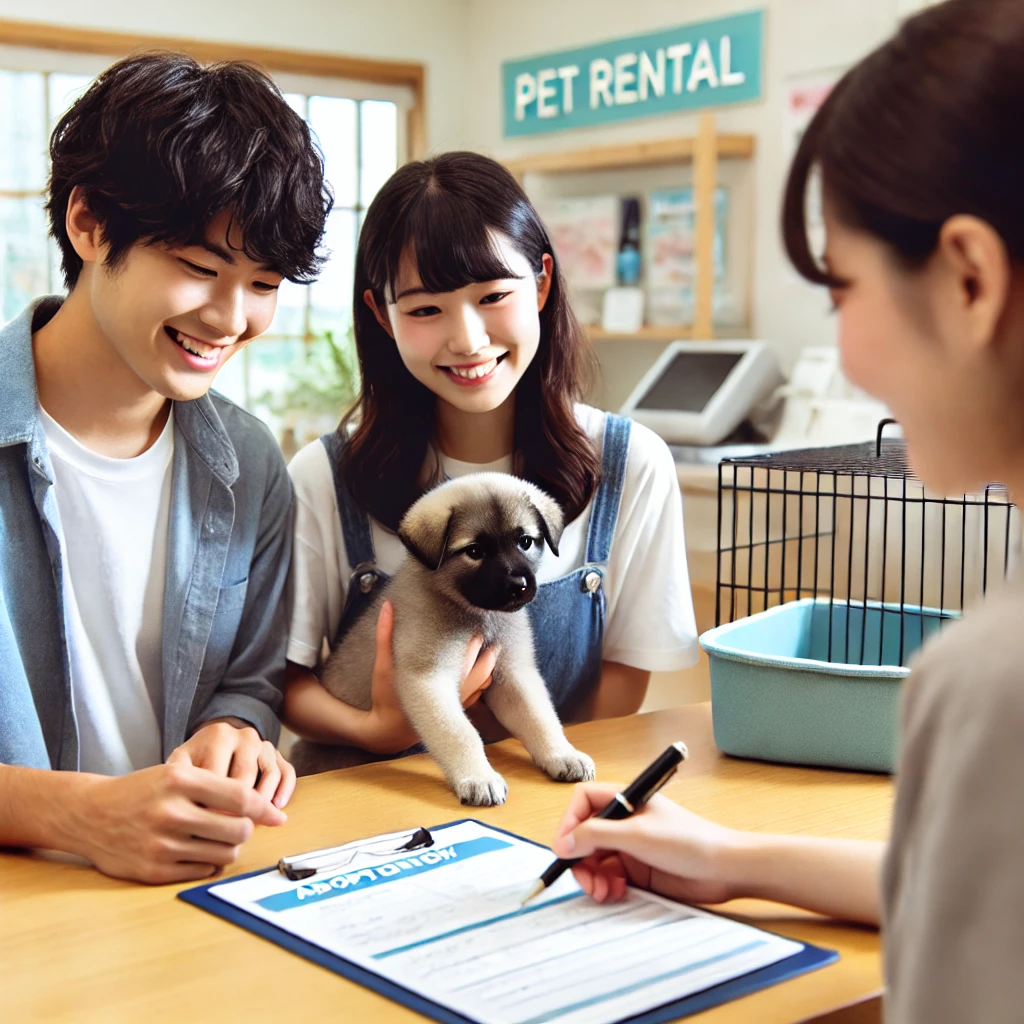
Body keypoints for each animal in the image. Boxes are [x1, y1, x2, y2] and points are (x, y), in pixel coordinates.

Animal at [292, 473, 598, 806]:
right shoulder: (429, 678)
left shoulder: (514, 675)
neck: (474, 613)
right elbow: (460, 733)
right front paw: (478, 777)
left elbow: (540, 719)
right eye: (474, 551)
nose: (518, 585)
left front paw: (562, 754)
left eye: (525, 541)